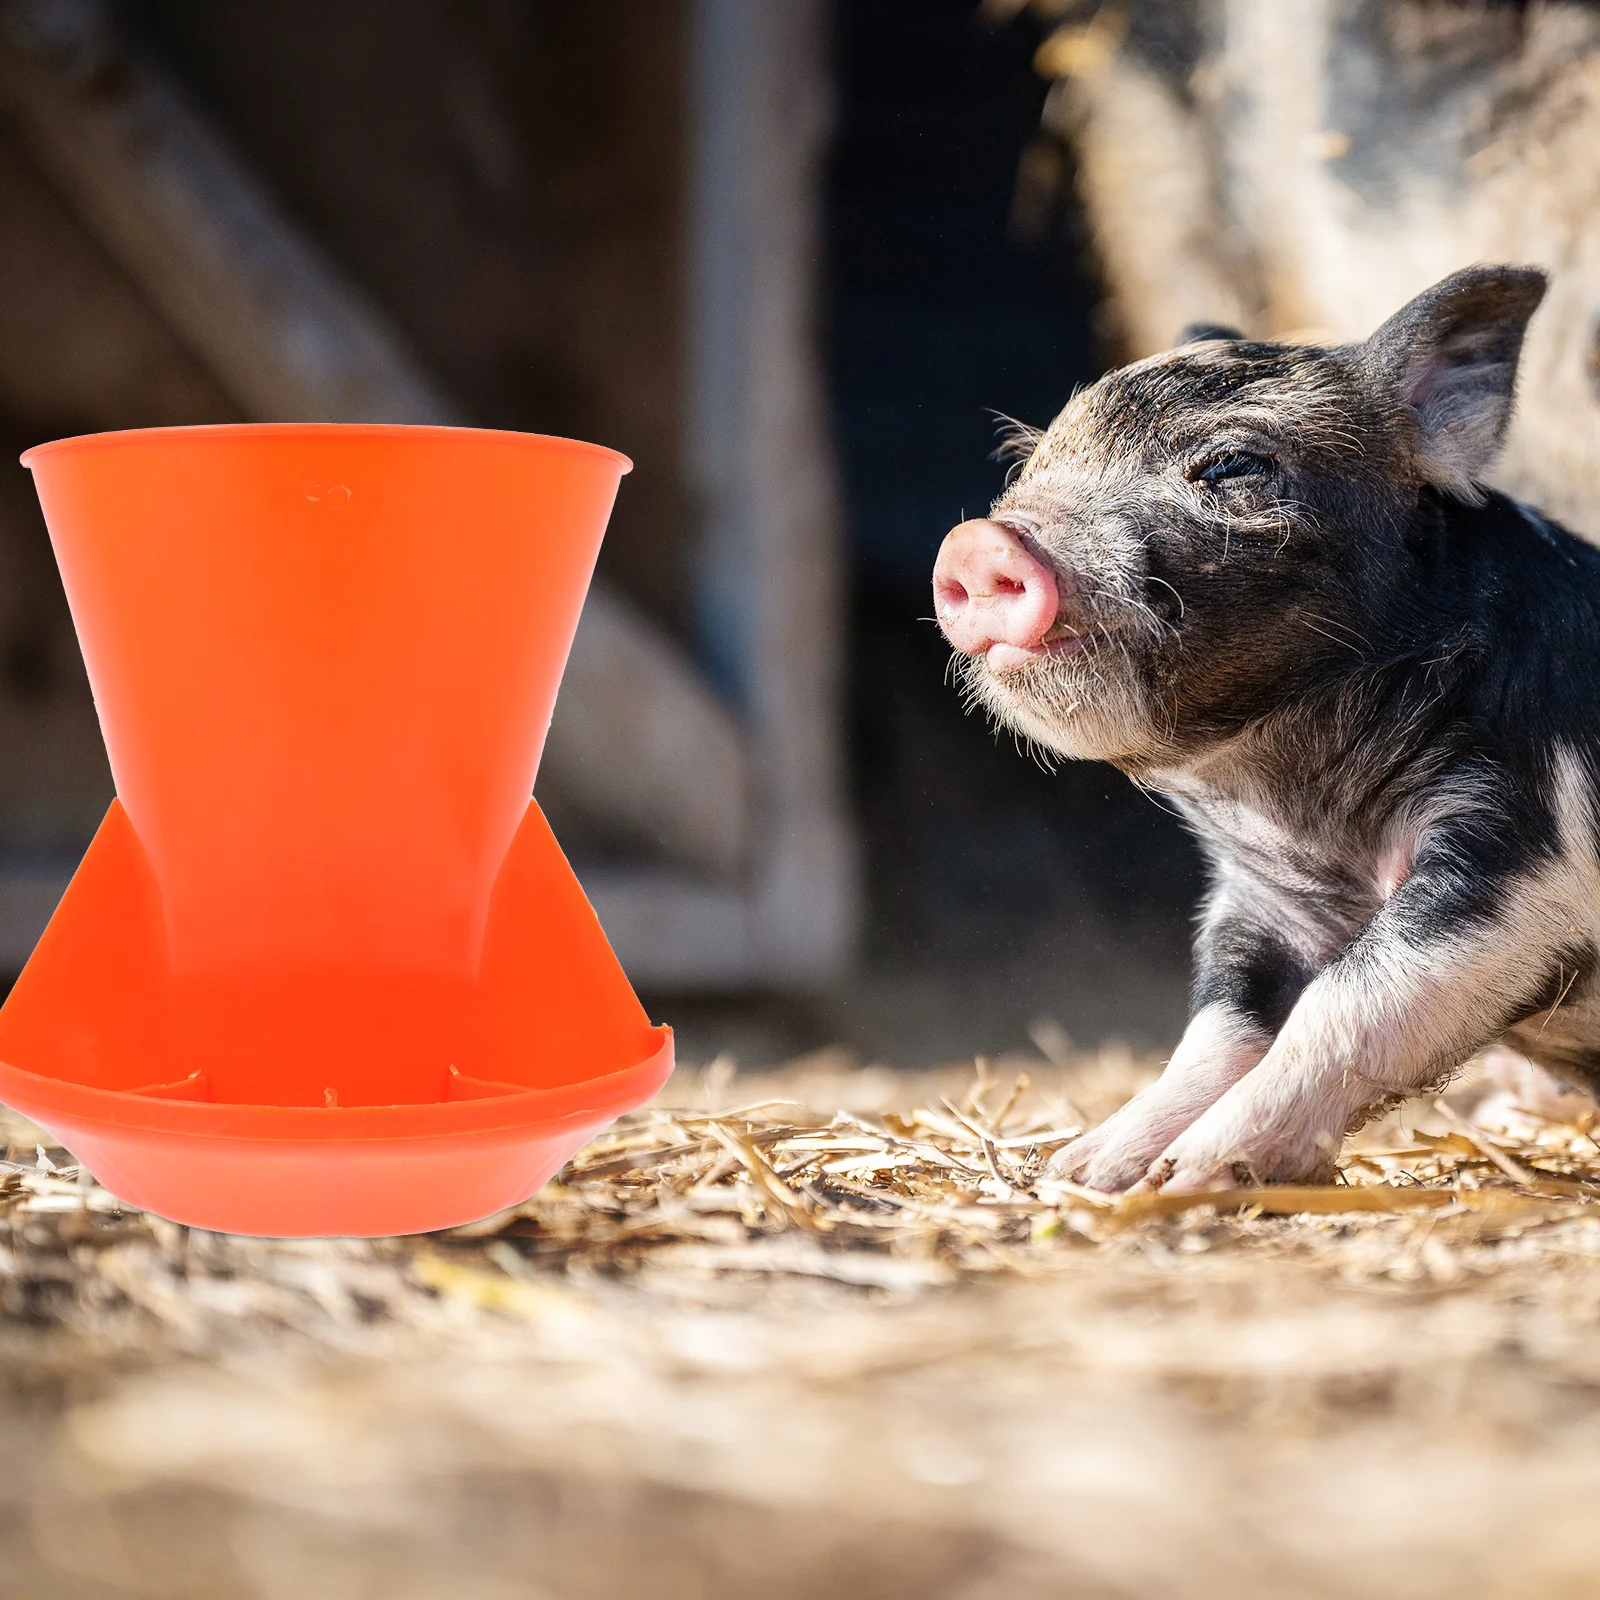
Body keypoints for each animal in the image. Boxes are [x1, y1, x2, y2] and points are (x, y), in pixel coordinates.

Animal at [932, 263, 1600, 1194]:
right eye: (1033, 462)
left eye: (1231, 464)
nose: (976, 544)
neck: (1303, 815)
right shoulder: (1255, 905)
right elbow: (1220, 1027)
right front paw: (1084, 1172)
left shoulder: (1524, 849)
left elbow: (1355, 998)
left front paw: (1191, 1173)